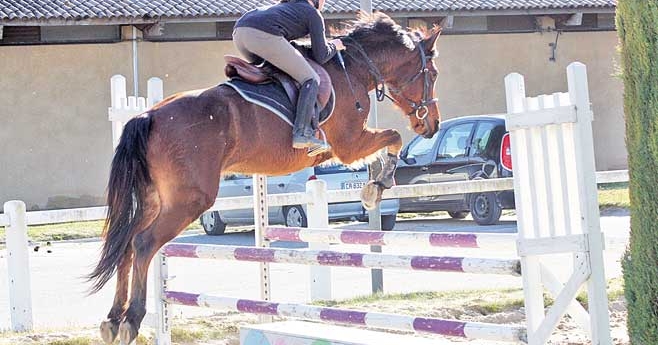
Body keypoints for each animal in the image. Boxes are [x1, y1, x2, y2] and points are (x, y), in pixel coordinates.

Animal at [87, 13, 436, 344]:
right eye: (432, 74)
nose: (431, 125)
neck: (353, 69)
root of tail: (148, 114)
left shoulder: (345, 149)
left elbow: (381, 148)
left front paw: (374, 185)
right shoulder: (349, 145)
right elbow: (393, 138)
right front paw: (379, 185)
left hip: (153, 199)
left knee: (126, 242)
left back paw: (113, 319)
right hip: (189, 200)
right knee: (143, 242)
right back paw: (132, 319)